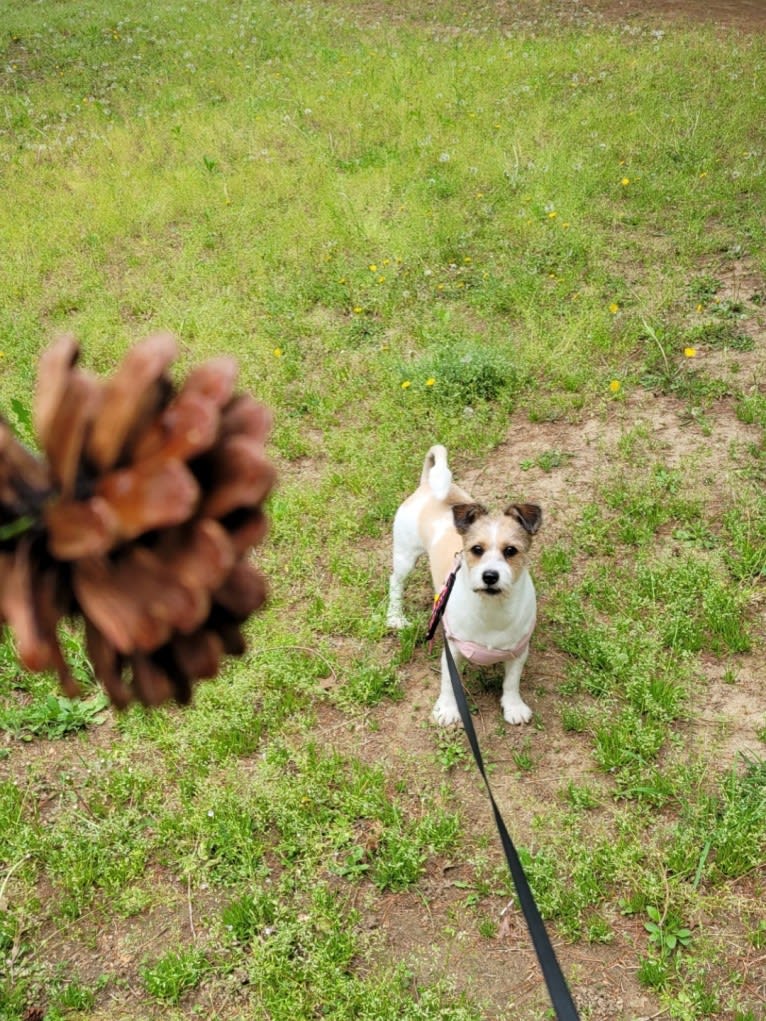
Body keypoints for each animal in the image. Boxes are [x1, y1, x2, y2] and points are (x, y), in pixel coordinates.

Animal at [386, 445, 543, 726]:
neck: (492, 609)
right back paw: (395, 617)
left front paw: (513, 706)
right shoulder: (453, 650)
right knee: (396, 582)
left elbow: (512, 682)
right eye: (476, 549)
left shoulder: (518, 651)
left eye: (511, 551)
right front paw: (448, 709)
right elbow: (450, 683)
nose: (490, 576)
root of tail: (427, 486)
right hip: (405, 556)